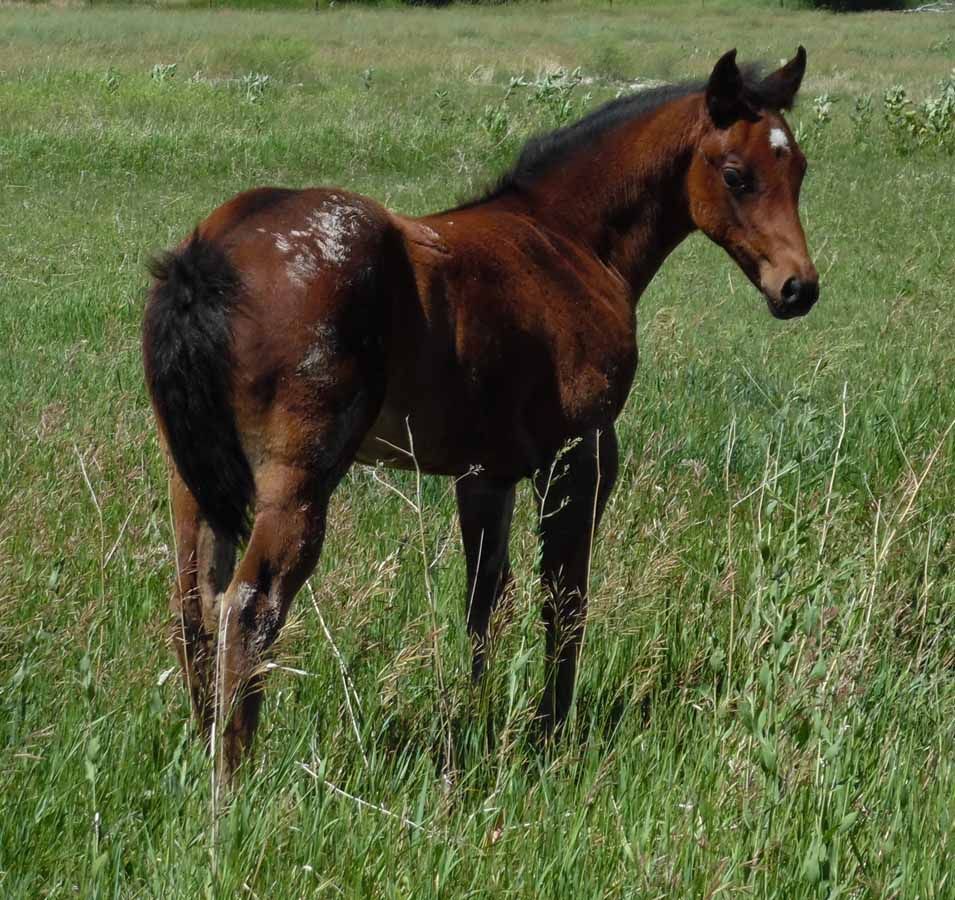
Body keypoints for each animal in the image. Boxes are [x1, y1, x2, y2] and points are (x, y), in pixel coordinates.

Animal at [143, 47, 819, 781]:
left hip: (193, 478)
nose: (798, 289)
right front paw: (549, 732)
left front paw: (476, 721)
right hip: (297, 480)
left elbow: (482, 600)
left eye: (800, 168)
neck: (567, 240)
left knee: (192, 607)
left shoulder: (484, 475)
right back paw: (233, 781)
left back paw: (201, 747)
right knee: (248, 607)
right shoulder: (580, 454)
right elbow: (564, 599)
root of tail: (209, 256)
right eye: (735, 174)